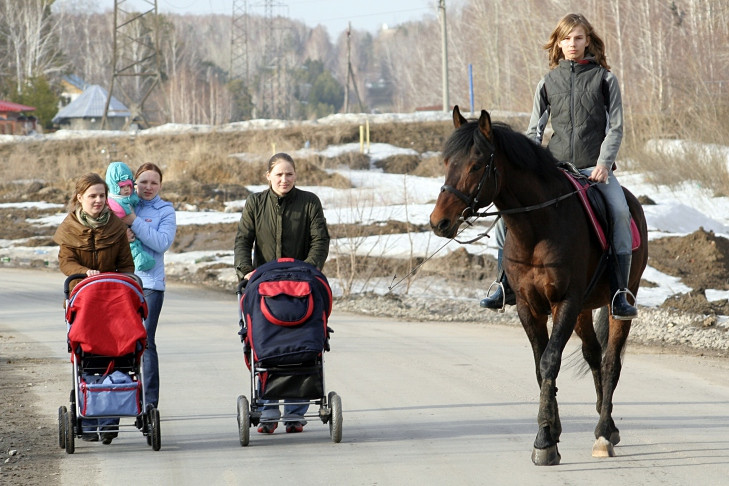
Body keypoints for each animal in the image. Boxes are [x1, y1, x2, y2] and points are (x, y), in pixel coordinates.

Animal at [430, 104, 644, 466]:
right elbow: (539, 365)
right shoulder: (530, 307)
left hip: (617, 304)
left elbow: (549, 362)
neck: (537, 227)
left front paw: (544, 441)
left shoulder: (565, 302)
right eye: (447, 162)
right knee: (593, 354)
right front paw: (552, 432)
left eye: (476, 165)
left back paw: (603, 434)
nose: (439, 222)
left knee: (610, 362)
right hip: (583, 310)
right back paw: (609, 426)